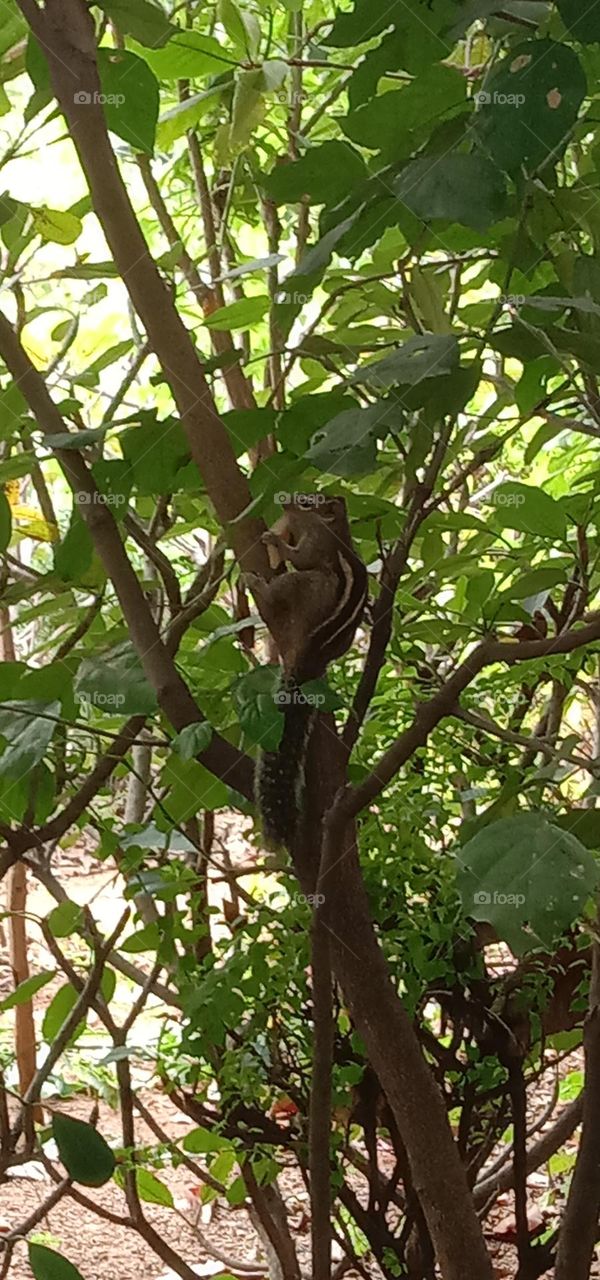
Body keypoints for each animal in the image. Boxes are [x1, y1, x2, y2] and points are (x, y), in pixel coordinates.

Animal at [244, 495, 368, 845]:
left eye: (307, 502)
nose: (283, 499)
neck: (332, 525)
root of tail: (314, 655)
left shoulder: (316, 546)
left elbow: (301, 558)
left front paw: (275, 542)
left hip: (305, 586)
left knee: (284, 588)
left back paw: (257, 584)